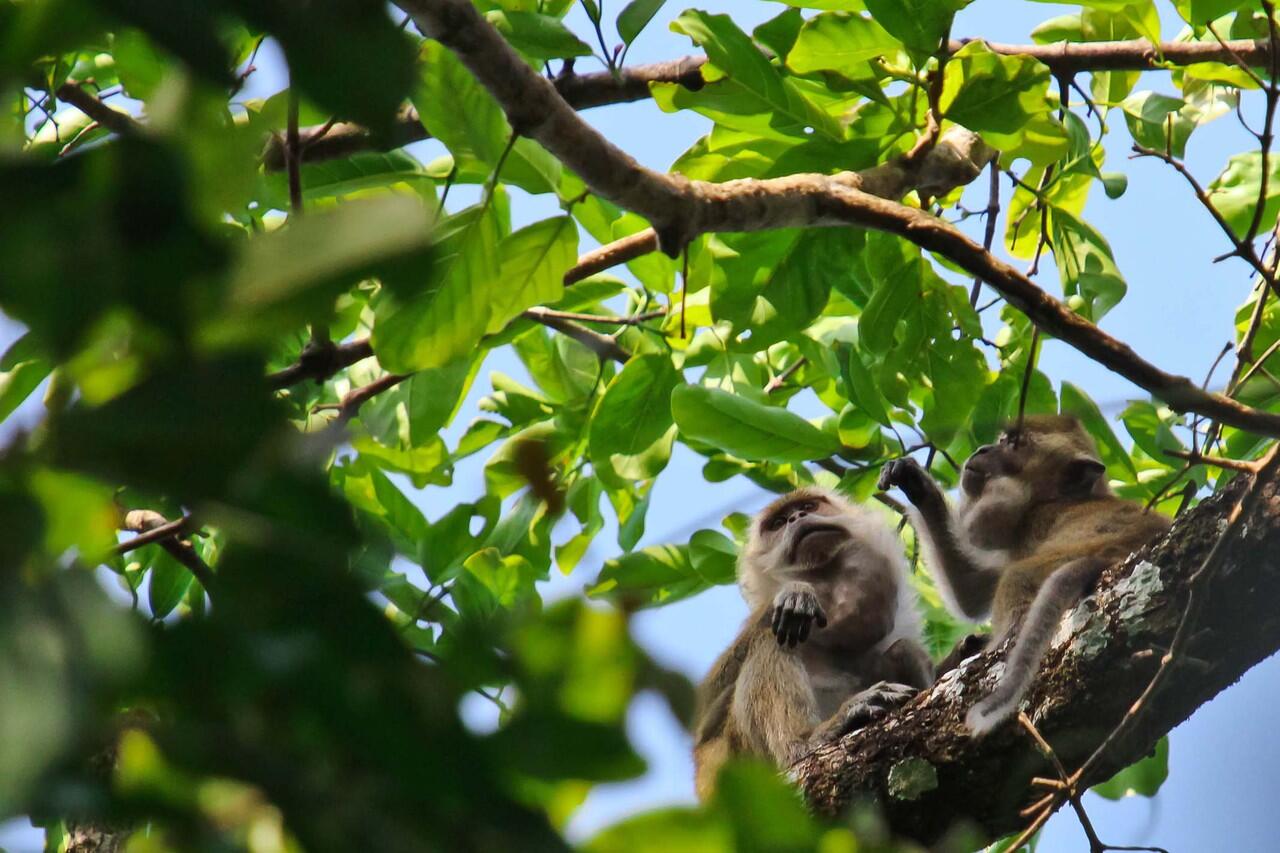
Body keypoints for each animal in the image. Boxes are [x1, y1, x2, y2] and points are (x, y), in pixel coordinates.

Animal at [691, 484, 931, 799]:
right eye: (778, 523)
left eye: (808, 506)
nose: (797, 518)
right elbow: (702, 719)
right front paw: (796, 592)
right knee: (772, 643)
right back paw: (808, 740)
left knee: (904, 649)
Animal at [880, 412, 1172, 732]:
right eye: (1001, 440)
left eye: (1014, 444)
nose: (982, 449)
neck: (1051, 500)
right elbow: (972, 593)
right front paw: (916, 484)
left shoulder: (1033, 525)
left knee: (1018, 578)